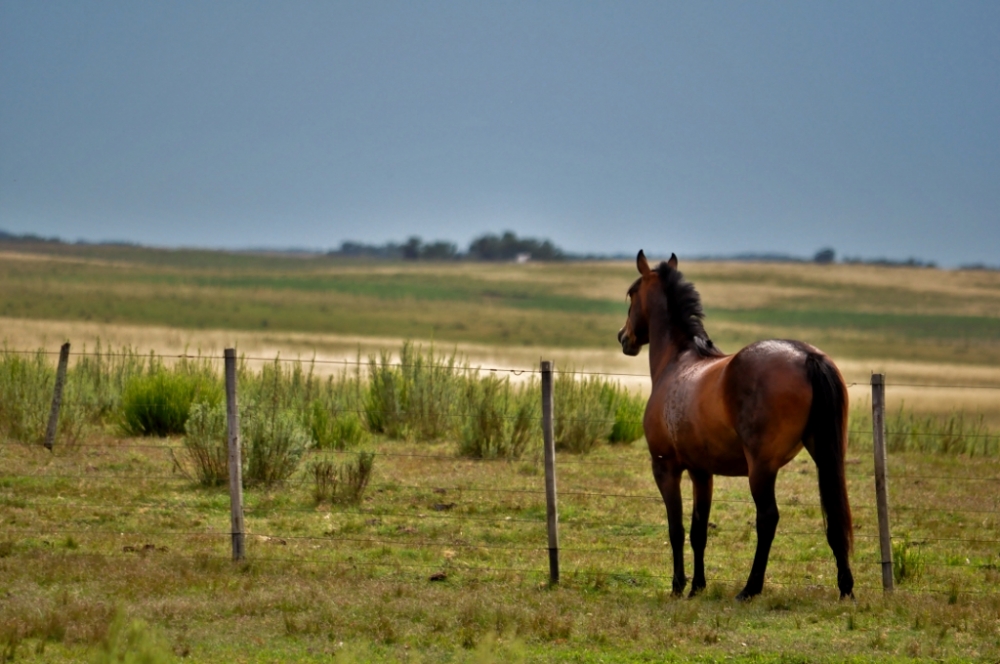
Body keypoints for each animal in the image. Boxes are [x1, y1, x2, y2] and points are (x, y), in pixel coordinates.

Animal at [612, 250, 856, 600]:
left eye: (631, 294)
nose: (624, 337)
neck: (677, 362)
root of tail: (807, 355)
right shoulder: (702, 471)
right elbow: (699, 530)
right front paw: (697, 587)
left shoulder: (666, 468)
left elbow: (676, 529)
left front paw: (678, 586)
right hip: (825, 455)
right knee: (835, 516)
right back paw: (846, 587)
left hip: (761, 468)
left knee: (768, 519)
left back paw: (750, 589)